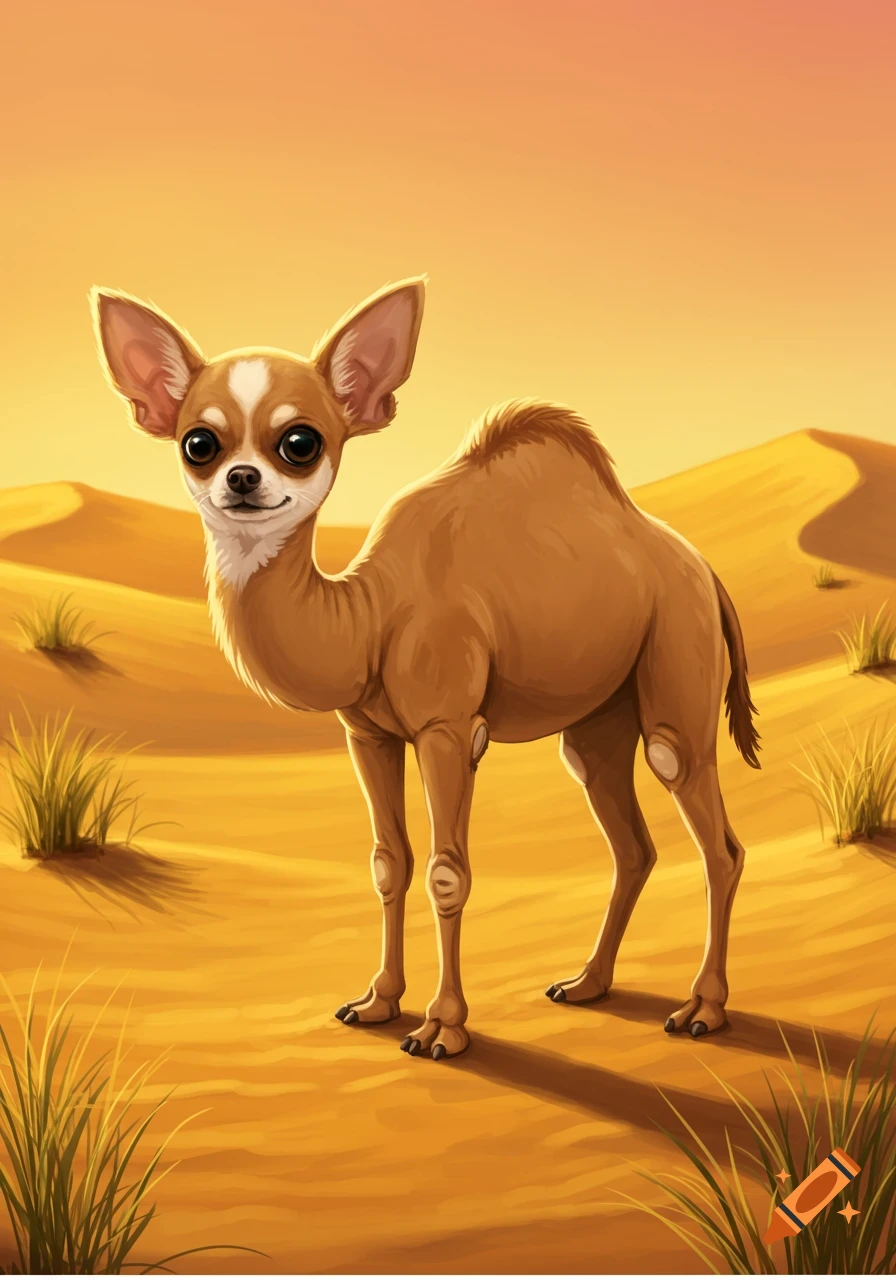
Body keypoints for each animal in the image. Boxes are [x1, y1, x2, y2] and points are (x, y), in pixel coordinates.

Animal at [93, 277, 760, 1061]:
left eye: (300, 441)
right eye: (198, 441)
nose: (242, 479)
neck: (370, 617)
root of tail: (705, 571)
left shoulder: (448, 727)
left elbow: (447, 872)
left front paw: (442, 1027)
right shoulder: (368, 734)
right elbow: (389, 863)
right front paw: (377, 1002)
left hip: (676, 667)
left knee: (713, 834)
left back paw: (702, 1009)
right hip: (598, 719)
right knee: (630, 842)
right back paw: (586, 984)